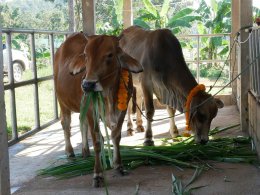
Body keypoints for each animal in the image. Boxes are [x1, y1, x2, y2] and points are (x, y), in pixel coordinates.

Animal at [53, 32, 142, 187]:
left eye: (110, 54)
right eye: (85, 55)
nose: (88, 85)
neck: (109, 92)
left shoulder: (122, 111)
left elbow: (116, 137)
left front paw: (118, 165)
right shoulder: (91, 111)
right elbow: (97, 140)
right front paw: (98, 174)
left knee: (81, 122)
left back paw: (85, 151)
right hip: (62, 101)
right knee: (66, 124)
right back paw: (70, 152)